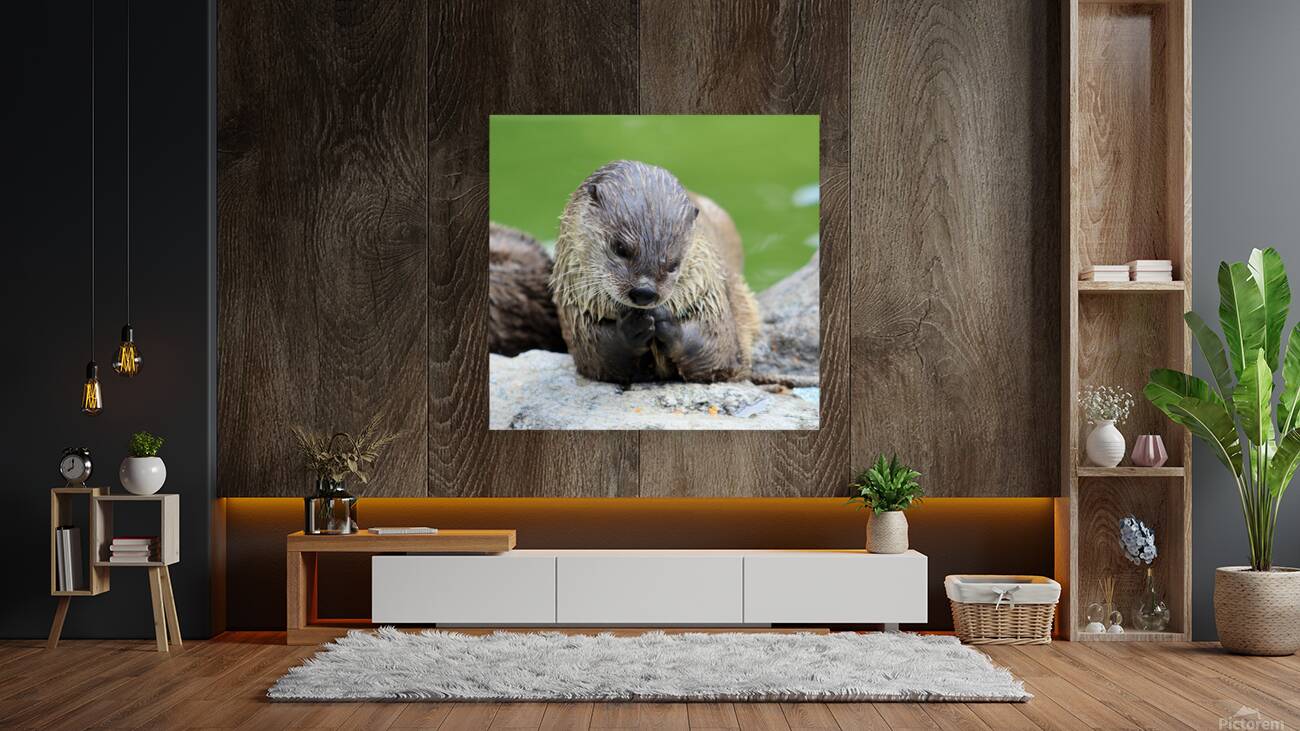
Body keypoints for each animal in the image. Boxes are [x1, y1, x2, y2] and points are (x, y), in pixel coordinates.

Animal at [550, 160, 760, 384]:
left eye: (674, 263)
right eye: (620, 248)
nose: (645, 291)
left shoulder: (708, 294)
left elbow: (718, 351)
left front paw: (665, 322)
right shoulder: (577, 311)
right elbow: (599, 355)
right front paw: (633, 328)